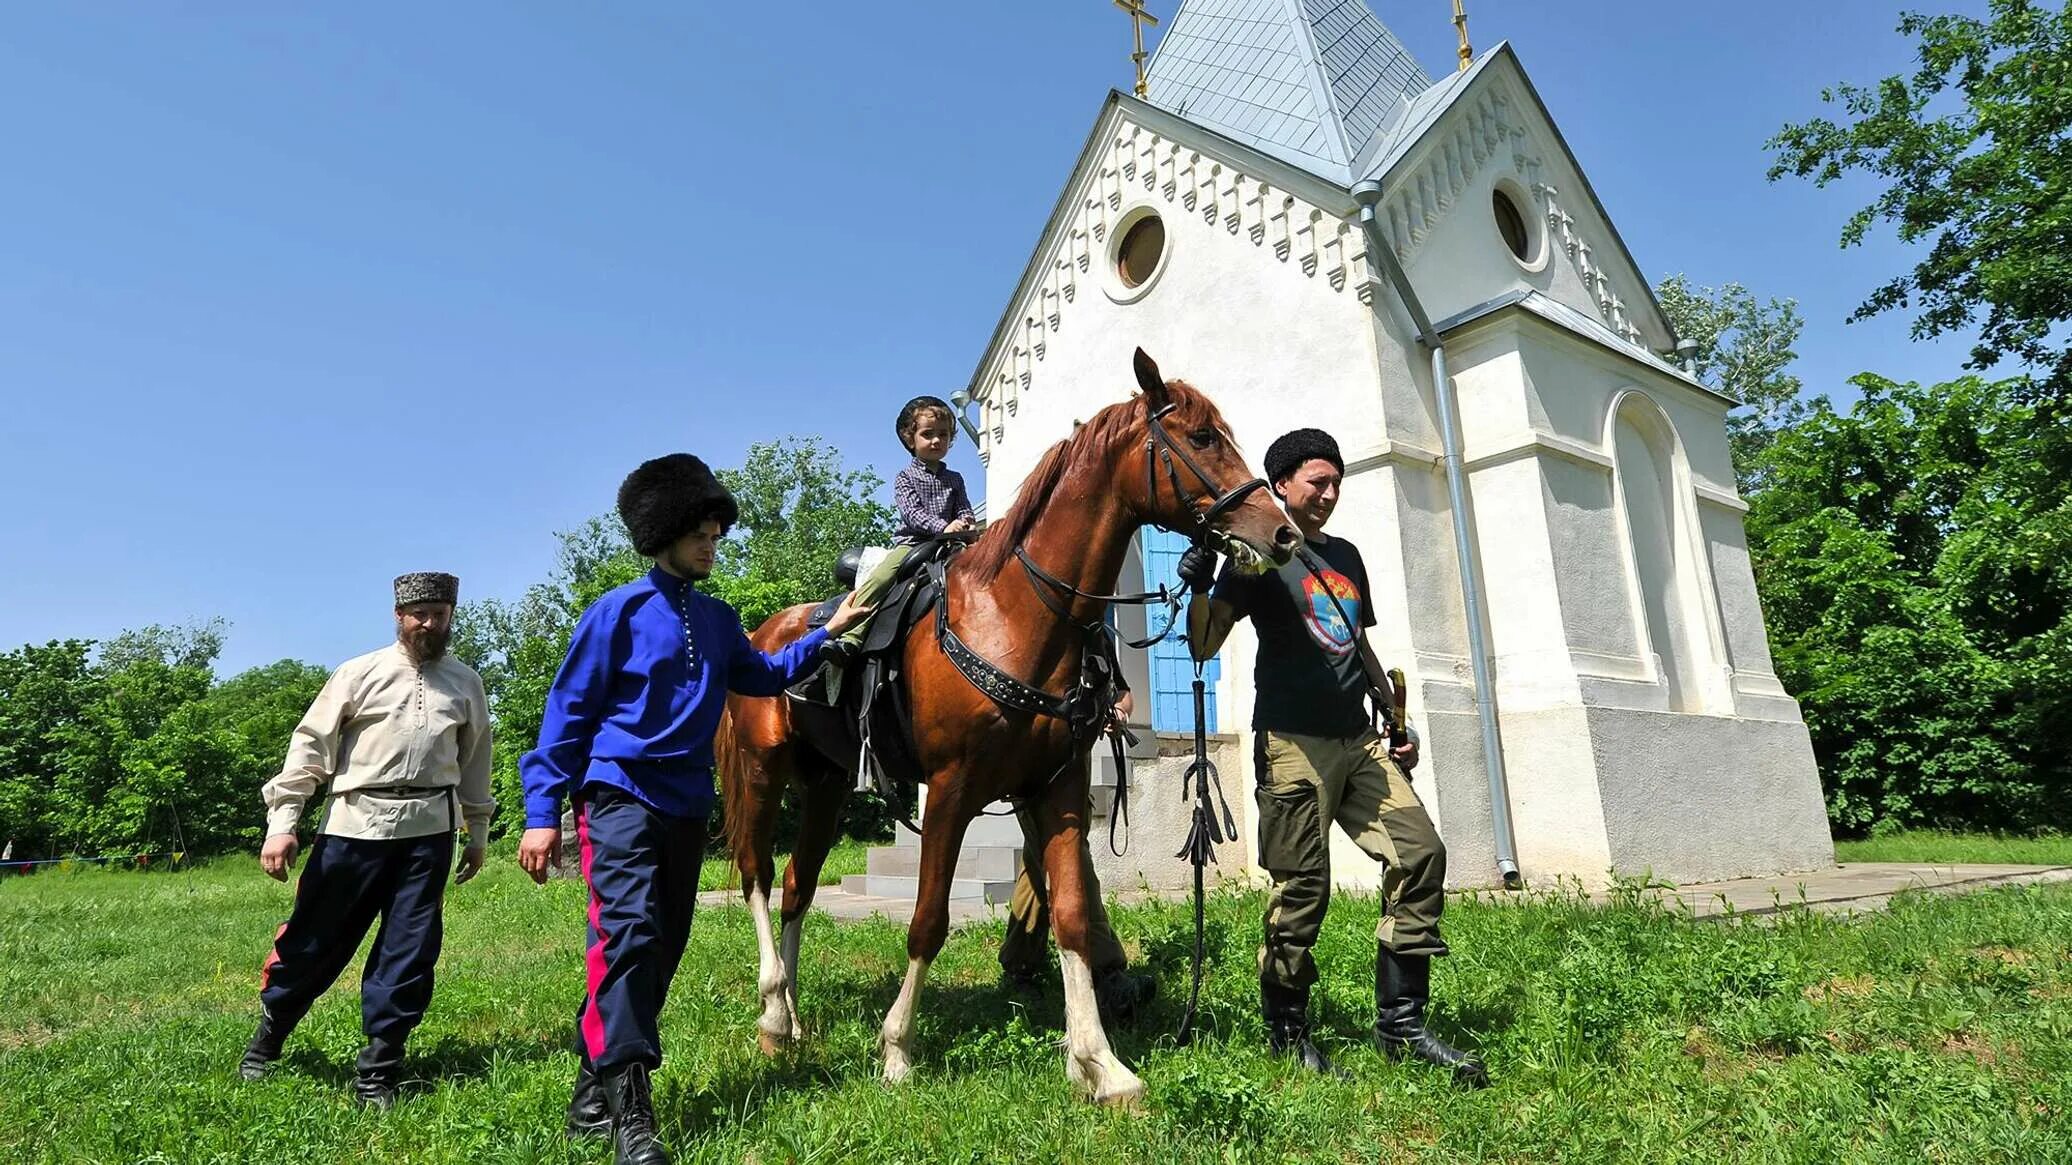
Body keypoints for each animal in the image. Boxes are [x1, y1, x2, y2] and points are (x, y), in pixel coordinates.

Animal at [721, 346, 1284, 1094]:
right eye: (1200, 438)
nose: (1281, 531)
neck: (1018, 614)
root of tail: (761, 634)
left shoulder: (1058, 788)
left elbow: (1072, 916)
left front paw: (1101, 1063)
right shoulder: (950, 790)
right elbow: (928, 920)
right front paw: (897, 1050)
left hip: (828, 784)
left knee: (796, 886)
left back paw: (789, 1017)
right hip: (763, 769)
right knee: (756, 873)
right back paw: (771, 1009)